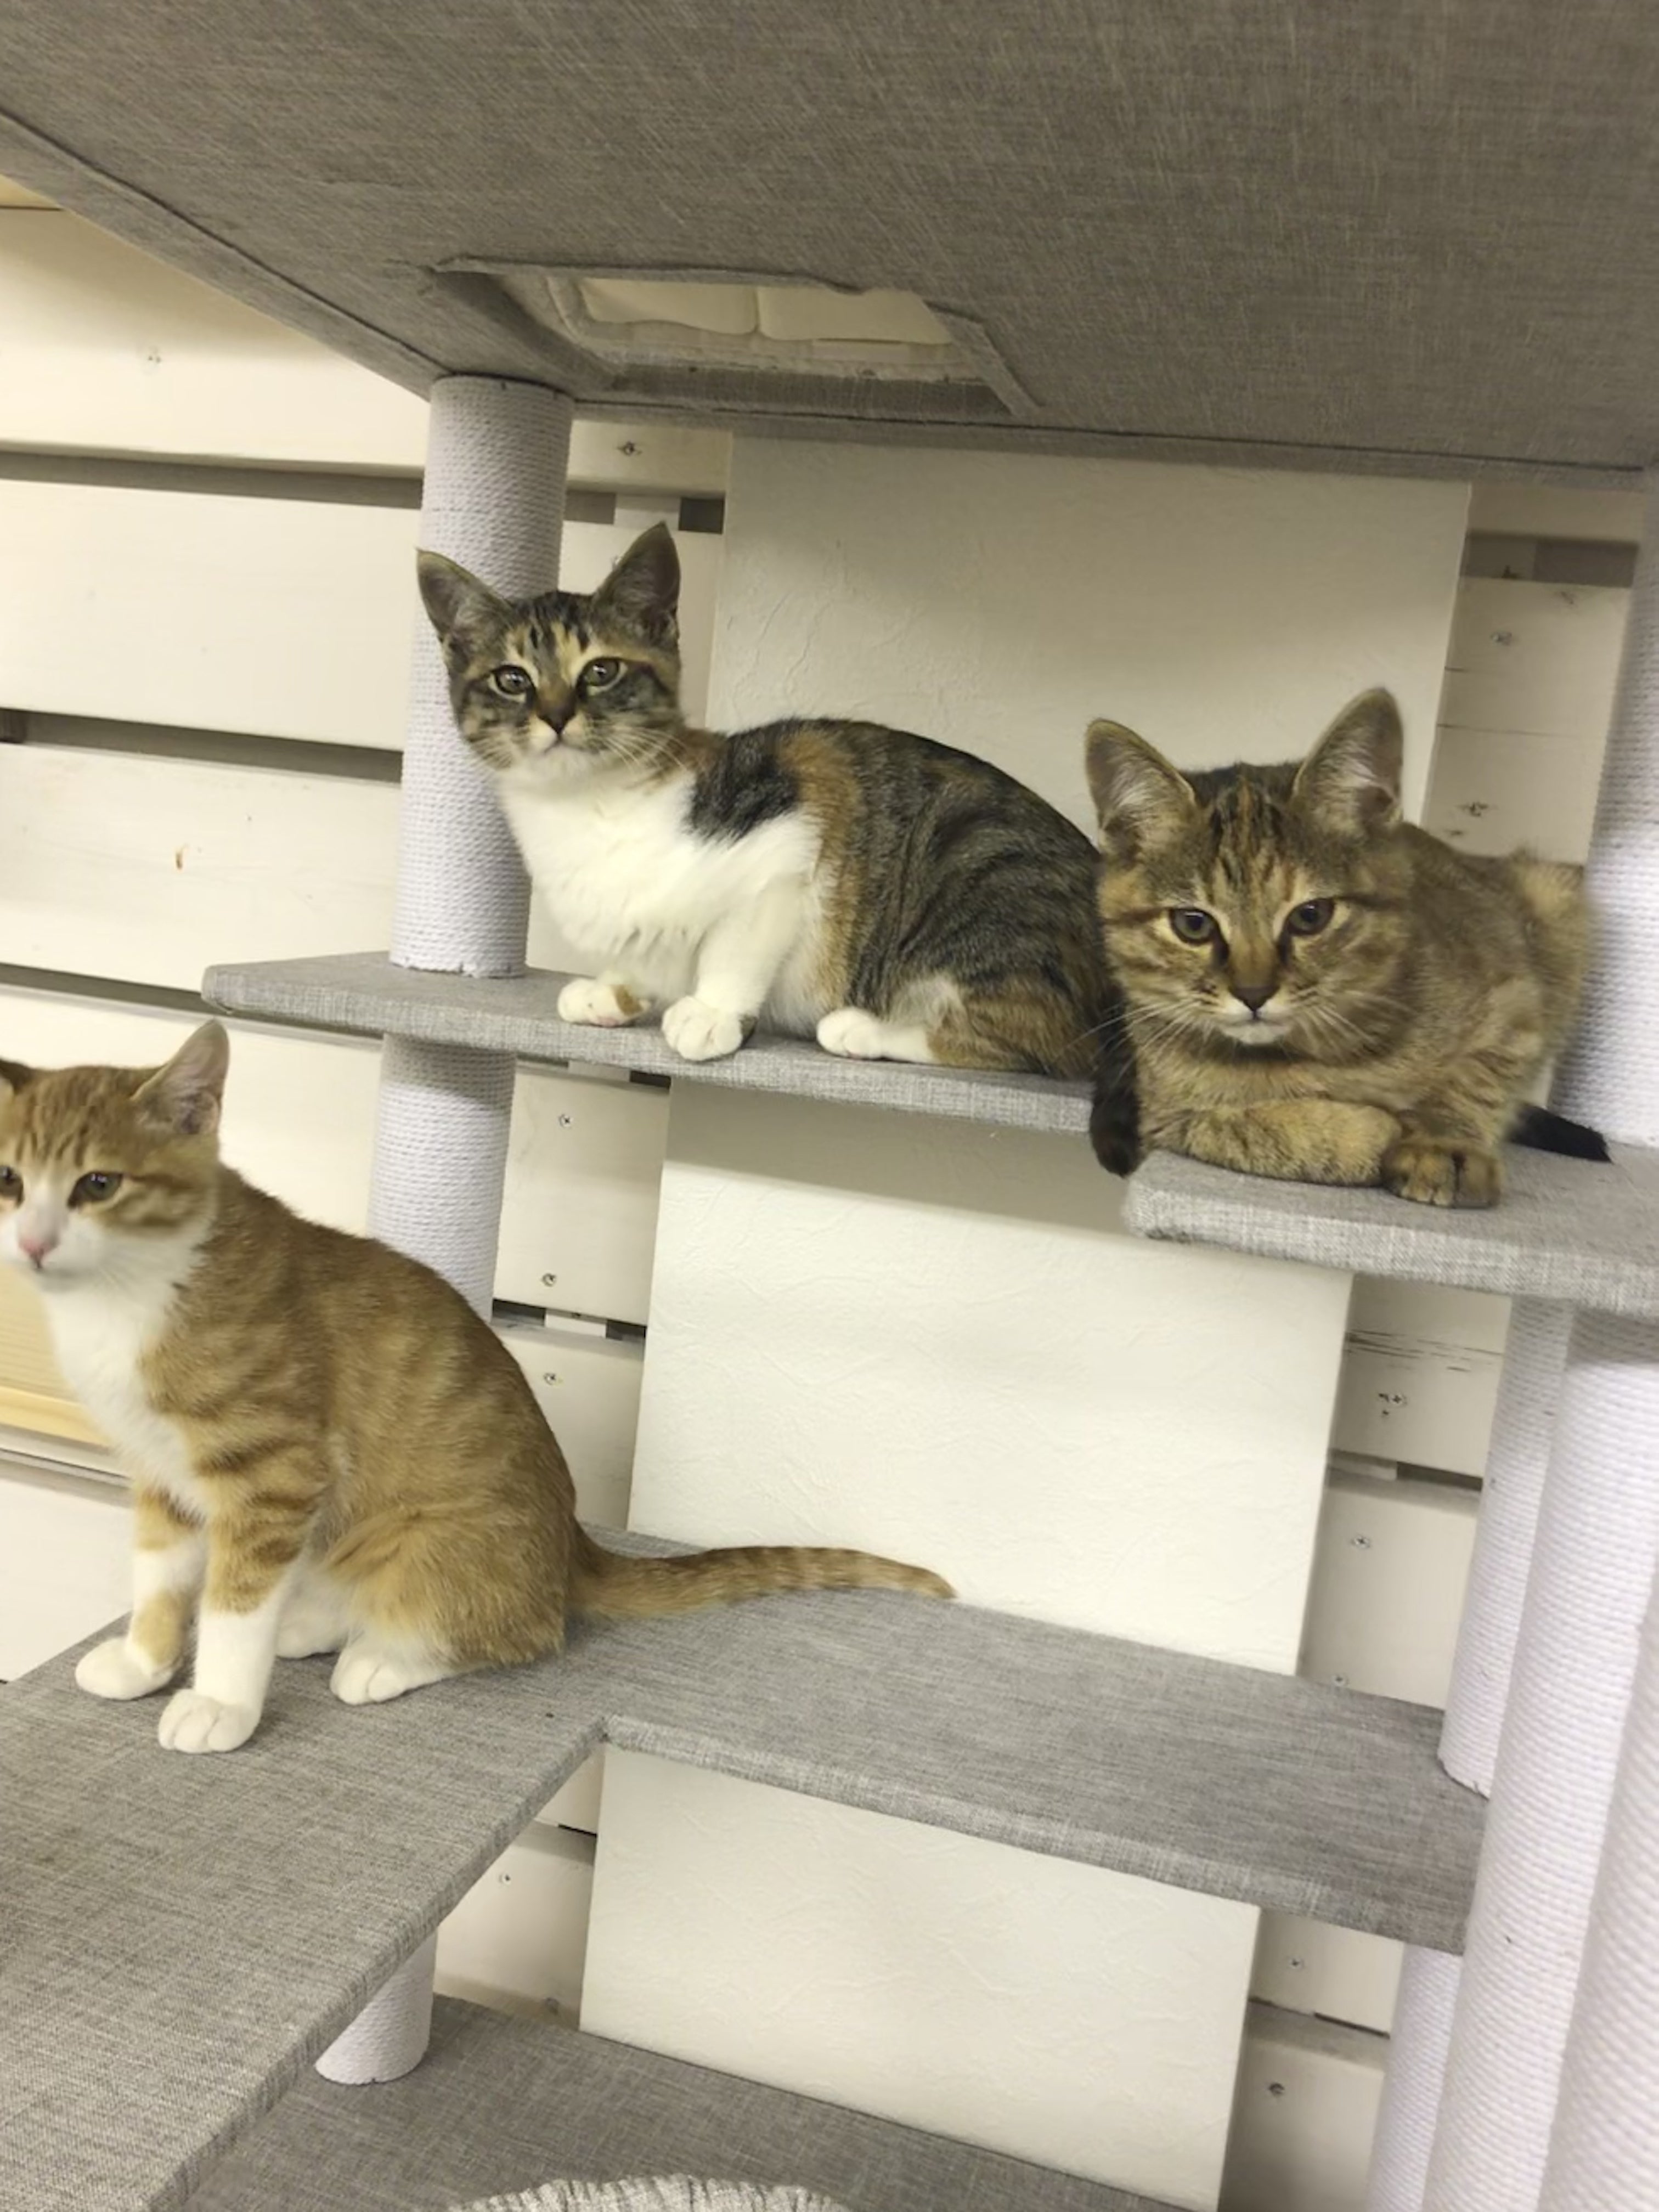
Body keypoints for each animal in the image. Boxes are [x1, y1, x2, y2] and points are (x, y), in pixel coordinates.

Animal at [0, 1022, 951, 1753]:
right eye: (10, 1181)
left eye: (98, 1184)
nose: (34, 1243)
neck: (131, 1292)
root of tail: (572, 1547)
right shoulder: (161, 1474)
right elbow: (160, 1576)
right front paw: (145, 1661)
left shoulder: (275, 1473)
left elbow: (235, 1599)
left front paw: (222, 1703)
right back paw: (316, 1623)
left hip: (433, 1540)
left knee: (518, 1628)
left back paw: (380, 1657)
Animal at [416, 524, 1136, 1131]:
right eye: (512, 679)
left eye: (601, 670)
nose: (558, 716)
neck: (589, 806)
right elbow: (646, 942)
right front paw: (613, 991)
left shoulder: (785, 835)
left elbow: (735, 943)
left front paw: (711, 1011)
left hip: (988, 894)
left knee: (1029, 1040)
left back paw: (863, 1029)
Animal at [1084, 689, 1594, 1207]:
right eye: (1193, 924)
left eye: (1310, 916)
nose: (1253, 994)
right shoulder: (1162, 1119)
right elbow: (1249, 1129)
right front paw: (1365, 1133)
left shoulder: (1516, 1002)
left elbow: (1476, 1080)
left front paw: (1443, 1143)